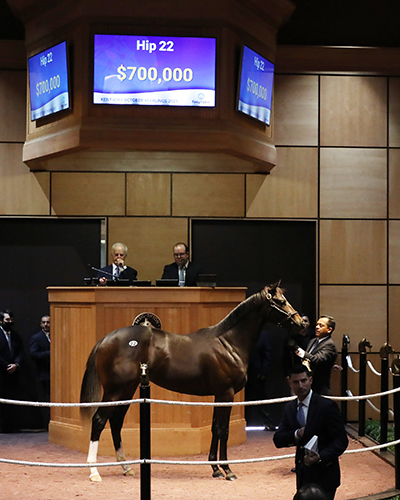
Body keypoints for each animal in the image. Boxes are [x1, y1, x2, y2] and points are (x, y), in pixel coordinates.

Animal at [79, 282, 304, 480]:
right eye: (280, 301)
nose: (302, 323)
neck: (228, 344)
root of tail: (105, 339)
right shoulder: (227, 393)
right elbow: (224, 430)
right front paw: (227, 470)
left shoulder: (218, 395)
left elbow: (215, 428)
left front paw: (215, 469)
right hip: (114, 391)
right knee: (99, 421)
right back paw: (94, 472)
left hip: (128, 390)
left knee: (116, 422)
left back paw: (126, 467)